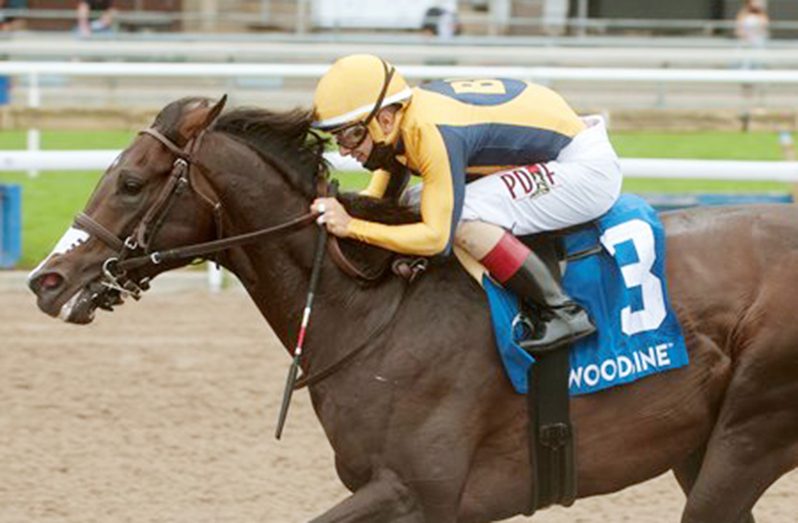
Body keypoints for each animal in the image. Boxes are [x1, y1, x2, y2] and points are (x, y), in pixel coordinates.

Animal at [28, 95, 798, 523]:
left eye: (131, 181)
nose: (46, 279)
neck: (369, 312)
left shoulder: (418, 493)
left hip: (749, 435)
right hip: (702, 446)